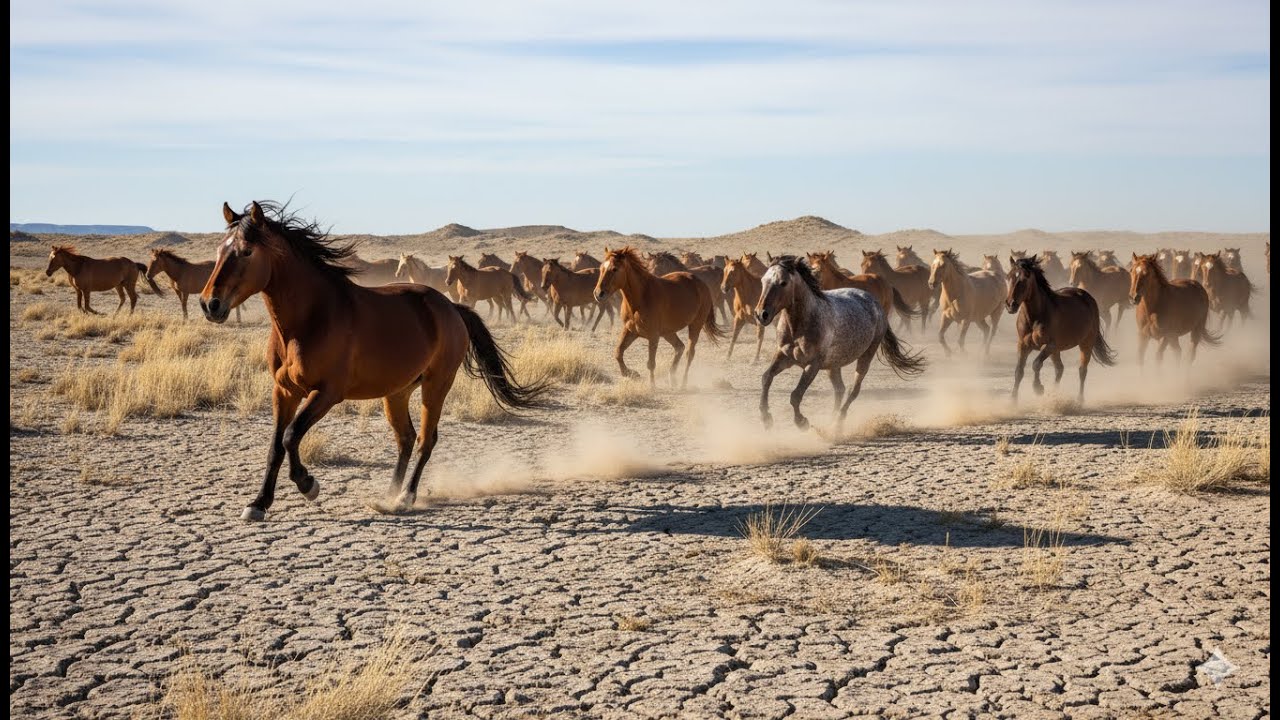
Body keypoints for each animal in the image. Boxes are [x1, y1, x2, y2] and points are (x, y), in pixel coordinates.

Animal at [199, 201, 544, 521]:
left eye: (246, 252)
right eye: (218, 250)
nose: (209, 304)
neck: (309, 320)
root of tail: (451, 307)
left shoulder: (326, 394)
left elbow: (290, 436)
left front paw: (308, 484)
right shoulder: (284, 391)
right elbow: (275, 447)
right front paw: (258, 504)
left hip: (436, 385)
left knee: (425, 440)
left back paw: (404, 497)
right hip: (398, 392)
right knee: (406, 439)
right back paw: (387, 496)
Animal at [594, 247, 721, 387]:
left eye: (614, 269)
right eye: (601, 268)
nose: (598, 293)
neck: (640, 299)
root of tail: (702, 284)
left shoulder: (653, 336)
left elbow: (650, 363)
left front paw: (652, 386)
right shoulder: (630, 331)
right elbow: (618, 353)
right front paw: (632, 374)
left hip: (695, 325)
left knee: (689, 353)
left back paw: (683, 384)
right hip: (668, 332)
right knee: (679, 347)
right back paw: (672, 378)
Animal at [755, 256, 925, 429]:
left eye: (783, 282)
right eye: (763, 281)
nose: (761, 314)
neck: (799, 326)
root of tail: (875, 302)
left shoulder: (812, 365)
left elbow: (796, 395)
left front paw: (802, 422)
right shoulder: (784, 356)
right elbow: (766, 378)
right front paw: (766, 418)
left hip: (866, 355)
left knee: (853, 390)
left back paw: (837, 423)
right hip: (833, 364)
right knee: (840, 389)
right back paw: (831, 420)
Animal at [1005, 256, 1115, 402]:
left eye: (1025, 278)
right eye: (1008, 276)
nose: (1010, 305)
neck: (1036, 316)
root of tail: (1087, 297)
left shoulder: (1049, 345)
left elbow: (1036, 364)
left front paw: (1038, 389)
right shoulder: (1023, 345)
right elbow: (1019, 371)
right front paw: (1013, 401)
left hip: (1085, 344)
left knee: (1082, 370)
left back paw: (1079, 400)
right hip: (1057, 351)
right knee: (1059, 369)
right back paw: (1054, 395)